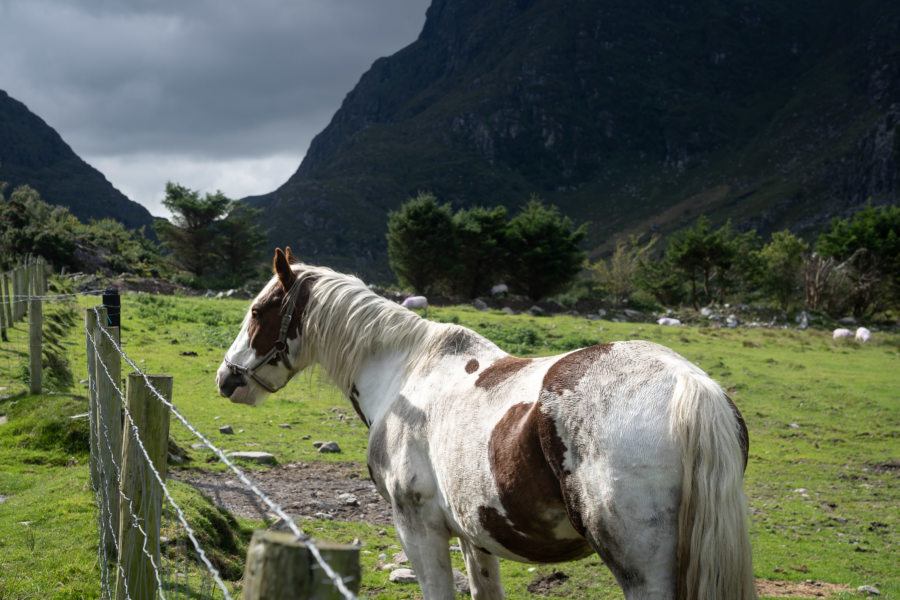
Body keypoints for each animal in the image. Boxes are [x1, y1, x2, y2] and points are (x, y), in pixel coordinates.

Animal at [220, 248, 760, 600]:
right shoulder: (473, 536)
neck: (405, 372)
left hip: (642, 571)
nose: (227, 378)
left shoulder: (417, 528)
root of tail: (689, 382)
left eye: (259, 310)